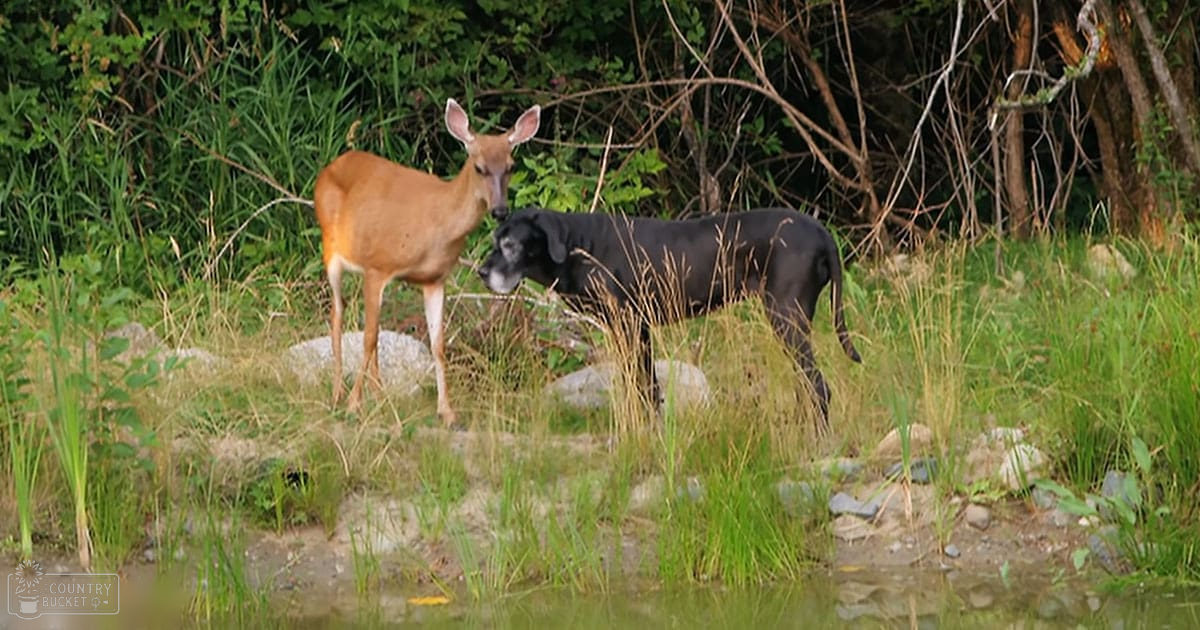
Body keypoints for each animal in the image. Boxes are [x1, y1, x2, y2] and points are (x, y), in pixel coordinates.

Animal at [313, 98, 541, 426]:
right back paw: (338, 395)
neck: (438, 222)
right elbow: (368, 338)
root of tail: (332, 166)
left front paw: (447, 412)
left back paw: (379, 396)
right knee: (338, 316)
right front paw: (353, 405)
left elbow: (437, 345)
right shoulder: (378, 267)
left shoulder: (434, 279)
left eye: (511, 167)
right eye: (479, 167)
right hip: (330, 247)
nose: (500, 211)